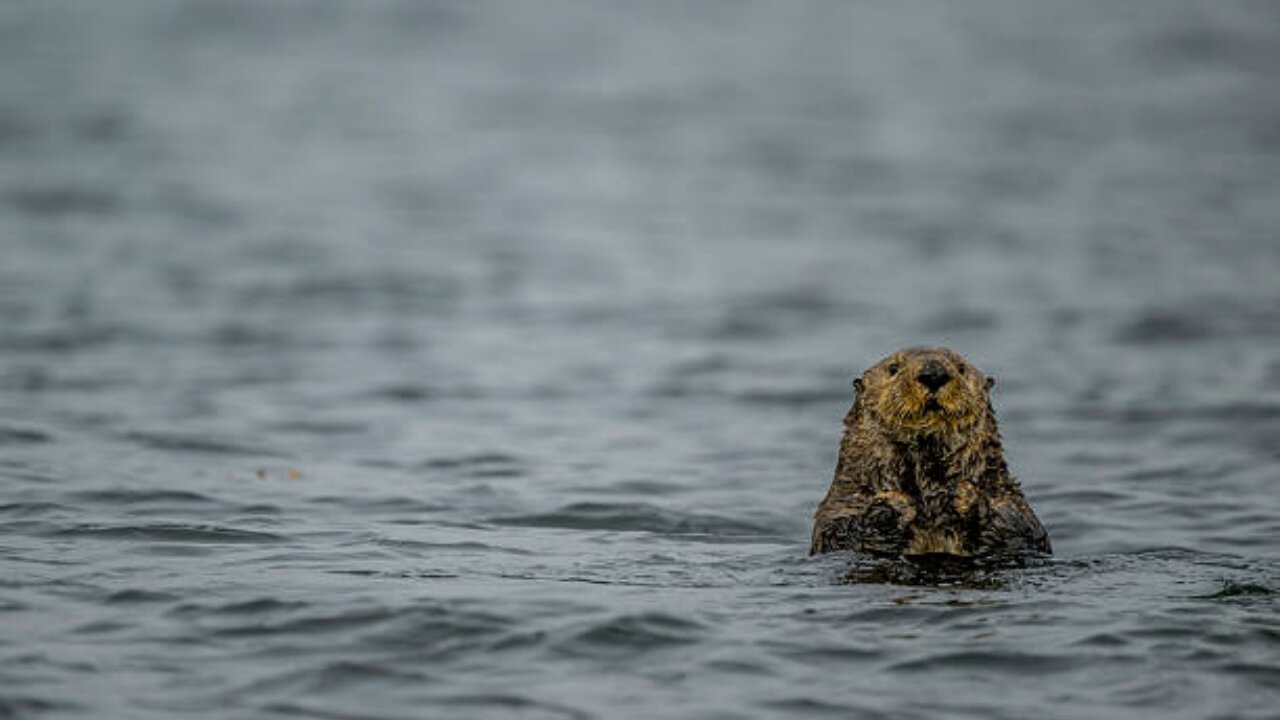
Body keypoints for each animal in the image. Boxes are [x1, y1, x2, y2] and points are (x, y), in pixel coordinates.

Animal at [811, 347, 1050, 559]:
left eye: (961, 368)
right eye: (893, 368)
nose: (934, 373)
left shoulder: (1009, 500)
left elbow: (1024, 531)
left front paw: (965, 495)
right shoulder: (842, 503)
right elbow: (838, 535)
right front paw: (894, 505)